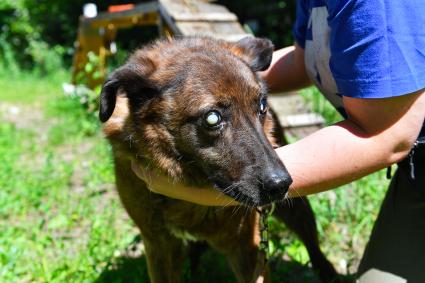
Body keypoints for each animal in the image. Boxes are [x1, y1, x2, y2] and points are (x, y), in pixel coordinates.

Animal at [99, 36, 338, 282]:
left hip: (295, 209)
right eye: (212, 118)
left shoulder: (247, 247)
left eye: (262, 106)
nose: (281, 184)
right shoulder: (159, 244)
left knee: (313, 244)